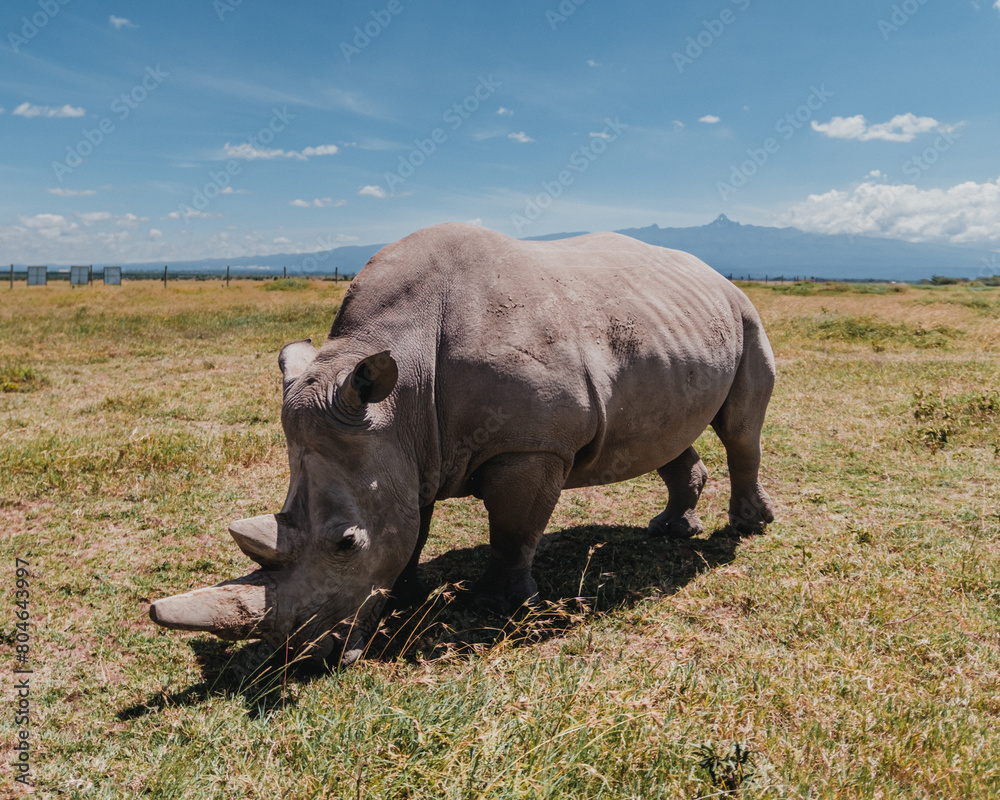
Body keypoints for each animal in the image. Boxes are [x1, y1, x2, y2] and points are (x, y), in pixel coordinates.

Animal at [149, 223, 775, 665]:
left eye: (345, 544)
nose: (308, 658)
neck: (402, 392)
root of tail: (713, 272)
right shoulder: (404, 447)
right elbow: (413, 522)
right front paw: (405, 596)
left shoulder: (531, 444)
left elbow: (513, 528)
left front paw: (496, 606)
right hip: (670, 328)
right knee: (667, 430)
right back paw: (670, 530)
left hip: (745, 312)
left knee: (741, 427)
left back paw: (746, 528)